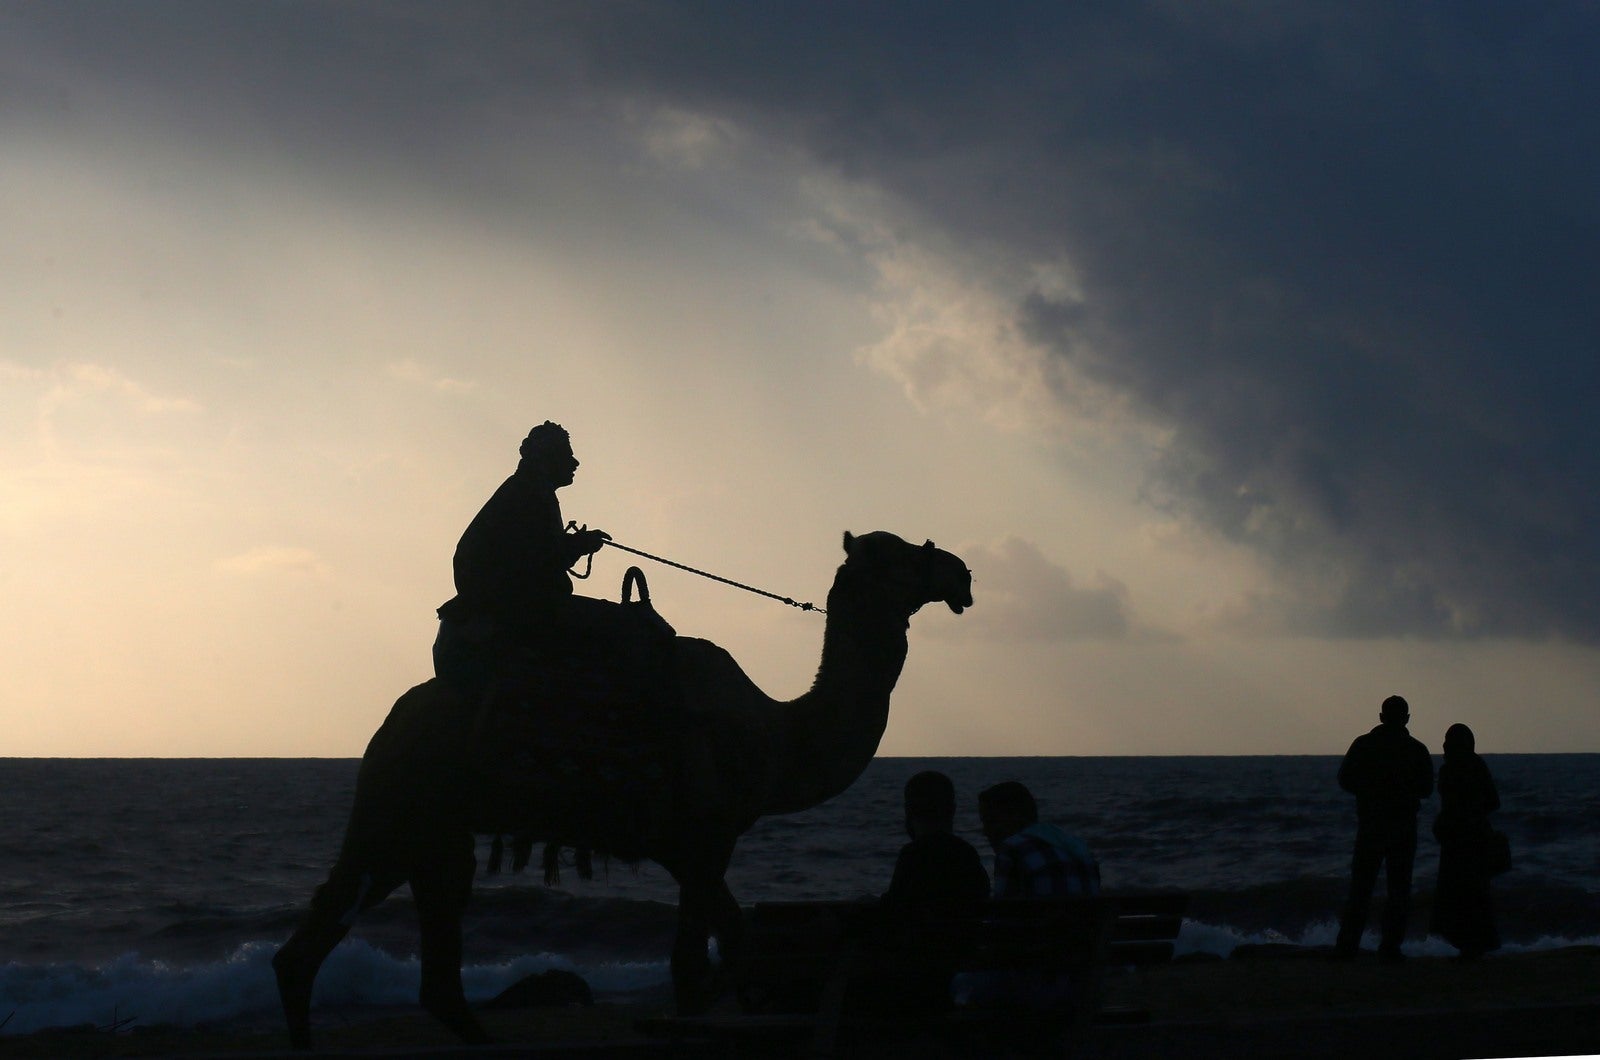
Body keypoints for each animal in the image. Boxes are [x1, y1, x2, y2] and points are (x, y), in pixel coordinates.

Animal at [272, 534, 972, 1050]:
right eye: (901, 552)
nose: (960, 571)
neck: (776, 737)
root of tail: (391, 722)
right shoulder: (705, 838)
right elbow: (702, 957)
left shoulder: (691, 850)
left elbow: (726, 942)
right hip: (407, 803)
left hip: (416, 822)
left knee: (378, 931)